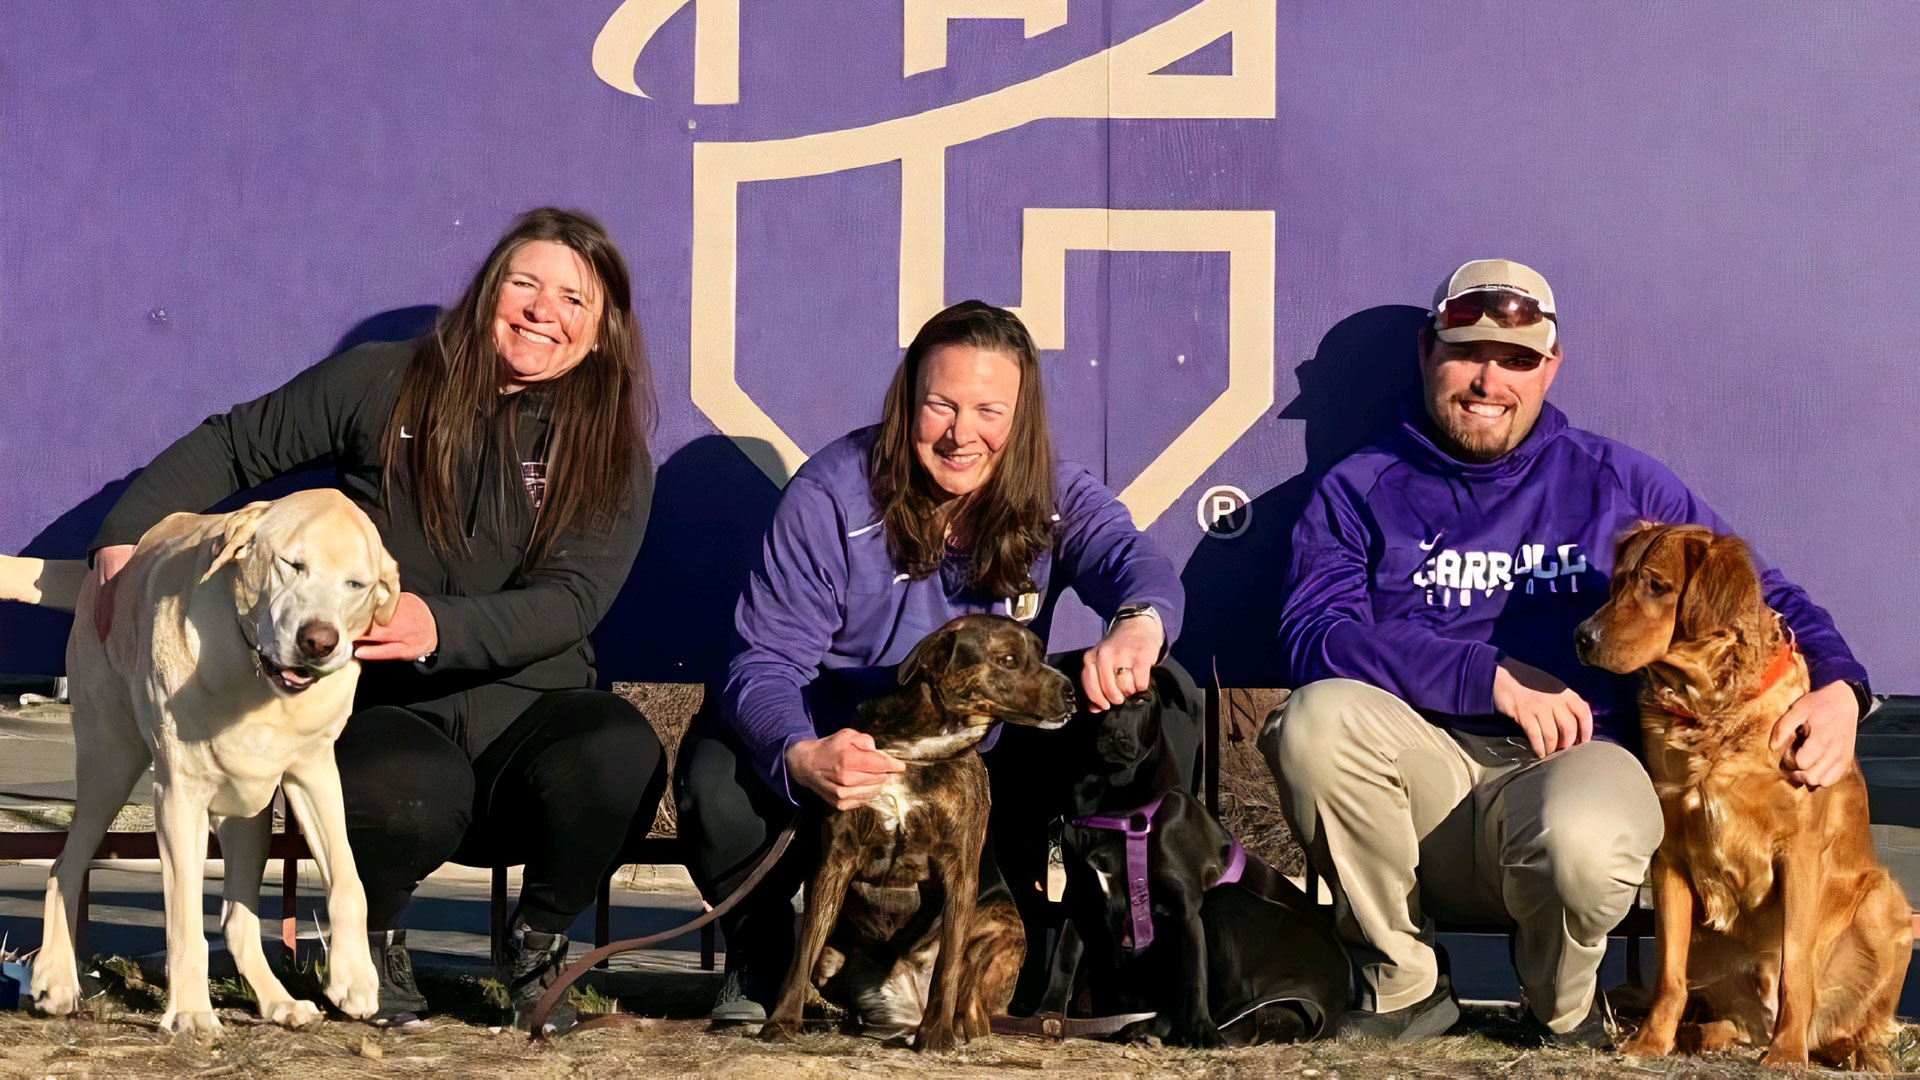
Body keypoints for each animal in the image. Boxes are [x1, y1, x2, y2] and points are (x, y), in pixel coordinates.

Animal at [0, 488, 393, 1022]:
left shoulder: (313, 772)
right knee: (65, 868)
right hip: (109, 765)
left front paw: (354, 977)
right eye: (292, 565)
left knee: (237, 919)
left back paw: (279, 1001)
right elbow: (185, 916)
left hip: (247, 816)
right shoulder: (178, 795)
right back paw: (56, 981)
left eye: (356, 584)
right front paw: (189, 1012)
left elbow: (349, 878)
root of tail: (94, 583)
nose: (318, 641)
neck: (257, 678)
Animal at [1036, 672, 1351, 1045]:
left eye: (1140, 698)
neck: (1114, 808)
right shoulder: (1080, 894)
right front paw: (1047, 1015)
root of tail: (1334, 996)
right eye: (1095, 701)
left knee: (1238, 1019)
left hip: (1223, 903)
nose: (1115, 738)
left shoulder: (1186, 907)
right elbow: (1063, 957)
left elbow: (1194, 975)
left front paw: (1200, 1030)